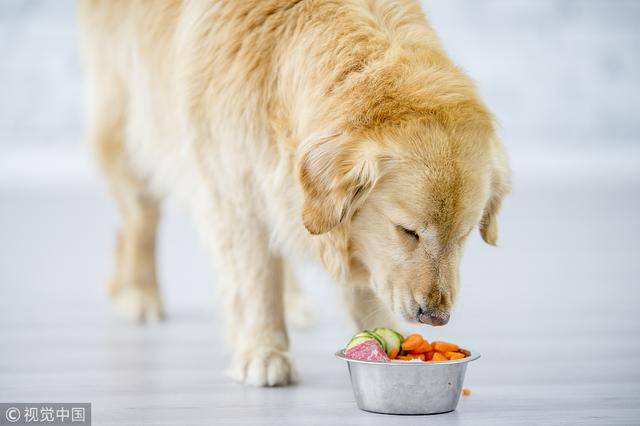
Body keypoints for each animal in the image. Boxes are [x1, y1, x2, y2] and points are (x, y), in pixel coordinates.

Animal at [79, 0, 510, 386]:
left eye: (464, 236)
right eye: (408, 231)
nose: (435, 318)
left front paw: (393, 343)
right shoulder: (237, 189)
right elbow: (255, 278)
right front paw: (264, 351)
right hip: (129, 123)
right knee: (140, 220)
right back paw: (139, 292)